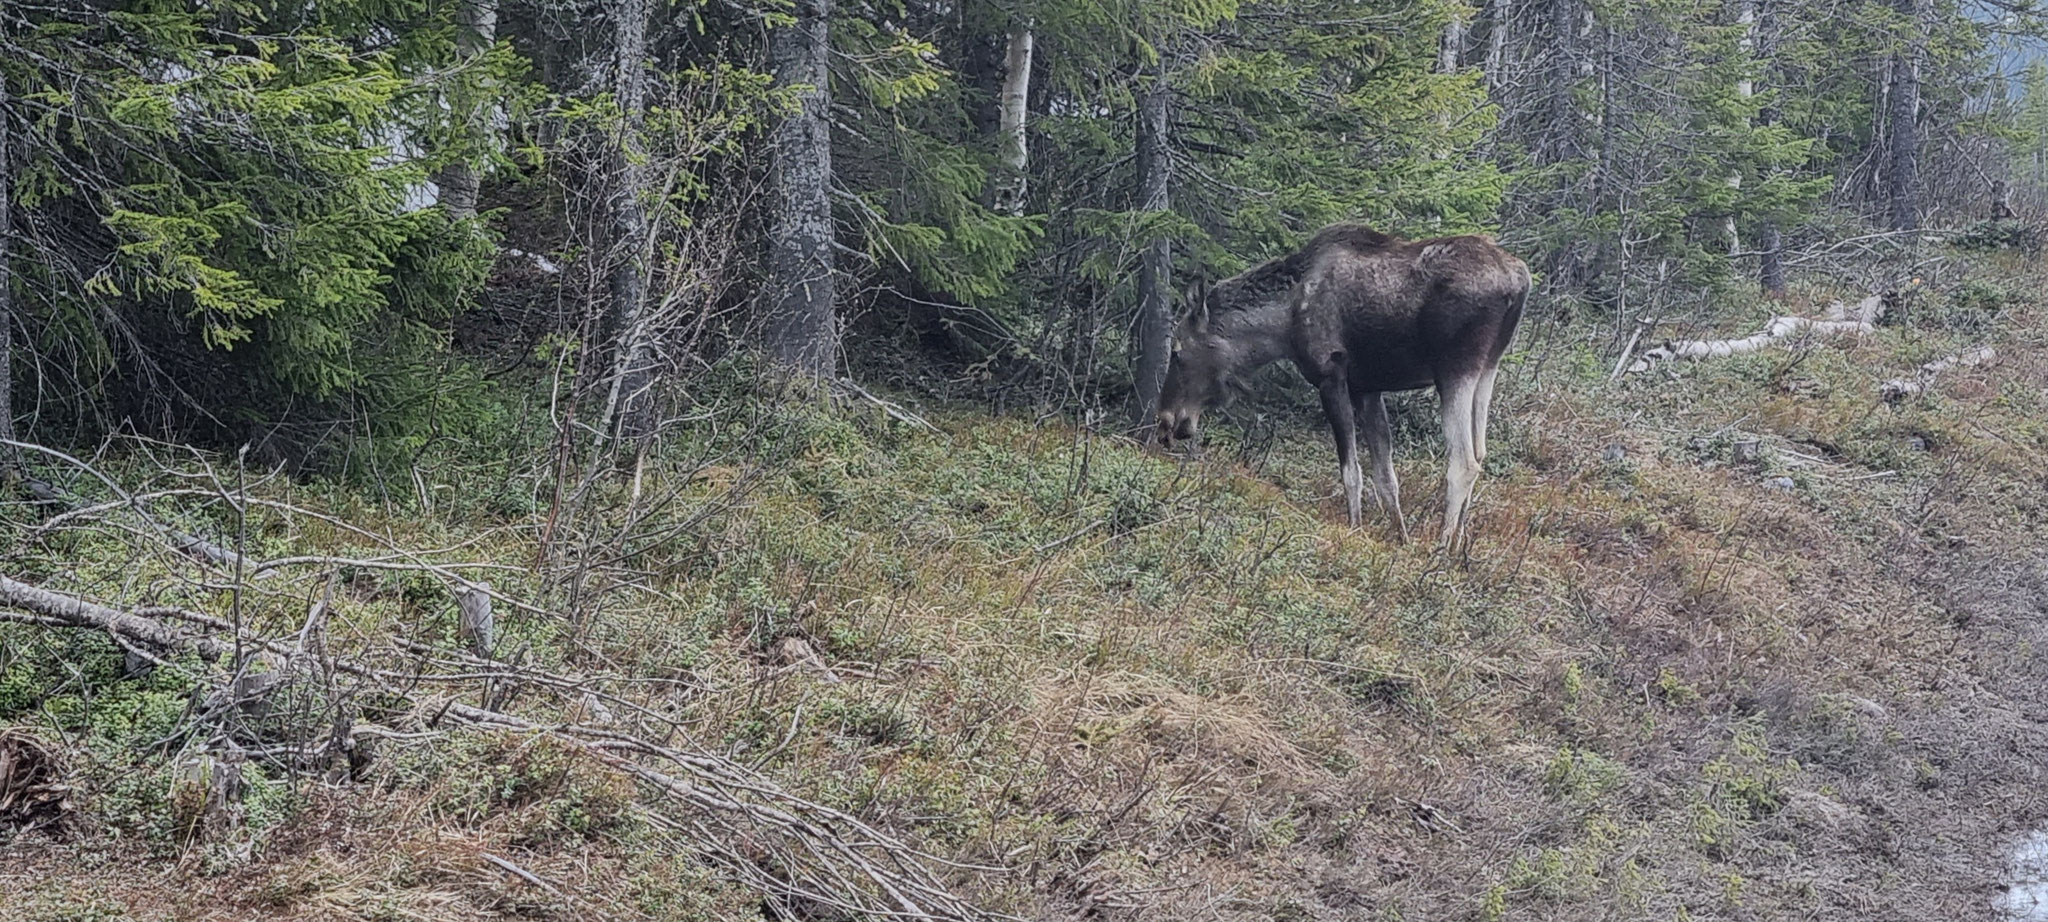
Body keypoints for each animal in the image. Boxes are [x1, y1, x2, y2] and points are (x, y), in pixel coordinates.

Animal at [1163, 224, 1531, 549]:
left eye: (1176, 351)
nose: (1167, 419)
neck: (1283, 326)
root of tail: (1520, 281)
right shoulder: (1367, 388)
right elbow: (1386, 477)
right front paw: (1401, 540)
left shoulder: (1332, 376)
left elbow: (1351, 471)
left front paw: (1354, 530)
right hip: (1488, 368)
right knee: (1481, 452)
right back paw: (1460, 546)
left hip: (1455, 368)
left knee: (1464, 462)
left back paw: (1442, 548)